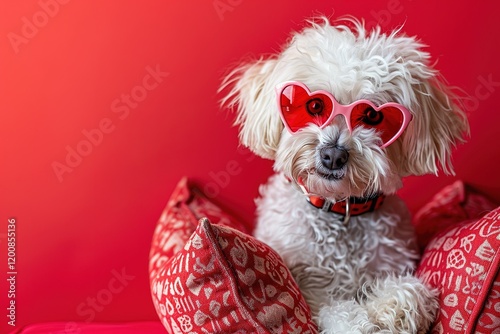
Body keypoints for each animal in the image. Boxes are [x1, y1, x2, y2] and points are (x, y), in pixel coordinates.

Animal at [221, 17, 466, 332]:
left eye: (373, 116)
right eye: (314, 105)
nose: (333, 155)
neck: (340, 209)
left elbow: (411, 292)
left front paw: (392, 308)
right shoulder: (312, 289)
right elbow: (339, 313)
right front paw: (363, 321)